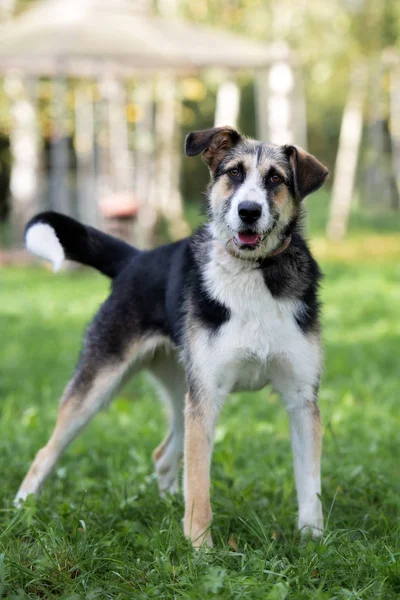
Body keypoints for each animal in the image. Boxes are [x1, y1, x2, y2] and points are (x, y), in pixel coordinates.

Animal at [14, 127, 328, 548]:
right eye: (233, 172)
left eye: (276, 178)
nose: (248, 211)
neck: (254, 272)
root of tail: (134, 259)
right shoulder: (206, 398)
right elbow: (199, 487)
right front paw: (201, 550)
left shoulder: (301, 399)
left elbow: (310, 486)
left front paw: (314, 542)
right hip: (101, 386)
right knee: (45, 452)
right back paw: (22, 509)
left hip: (182, 392)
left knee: (163, 455)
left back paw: (166, 507)